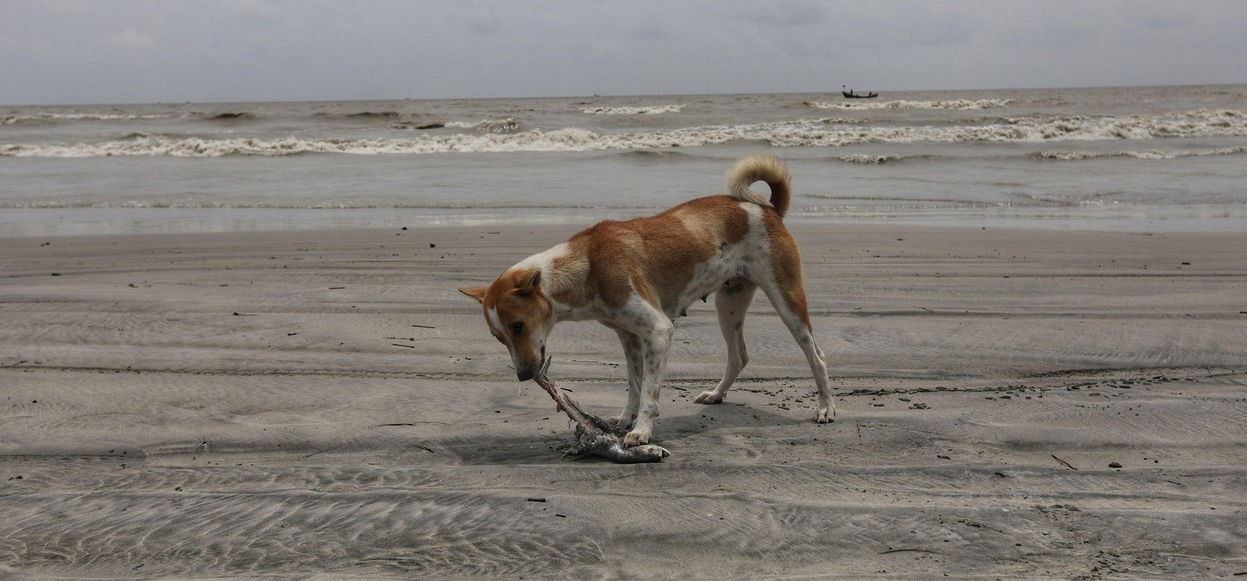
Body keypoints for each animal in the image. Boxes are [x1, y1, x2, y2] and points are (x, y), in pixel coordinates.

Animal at [463, 154, 832, 443]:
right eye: (499, 337)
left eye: (518, 326)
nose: (524, 376)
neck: (587, 266)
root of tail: (769, 210)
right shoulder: (629, 337)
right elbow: (634, 385)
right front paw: (626, 419)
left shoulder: (657, 331)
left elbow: (650, 392)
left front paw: (641, 431)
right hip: (728, 303)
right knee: (738, 355)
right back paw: (716, 394)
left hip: (786, 299)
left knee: (816, 355)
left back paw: (826, 408)